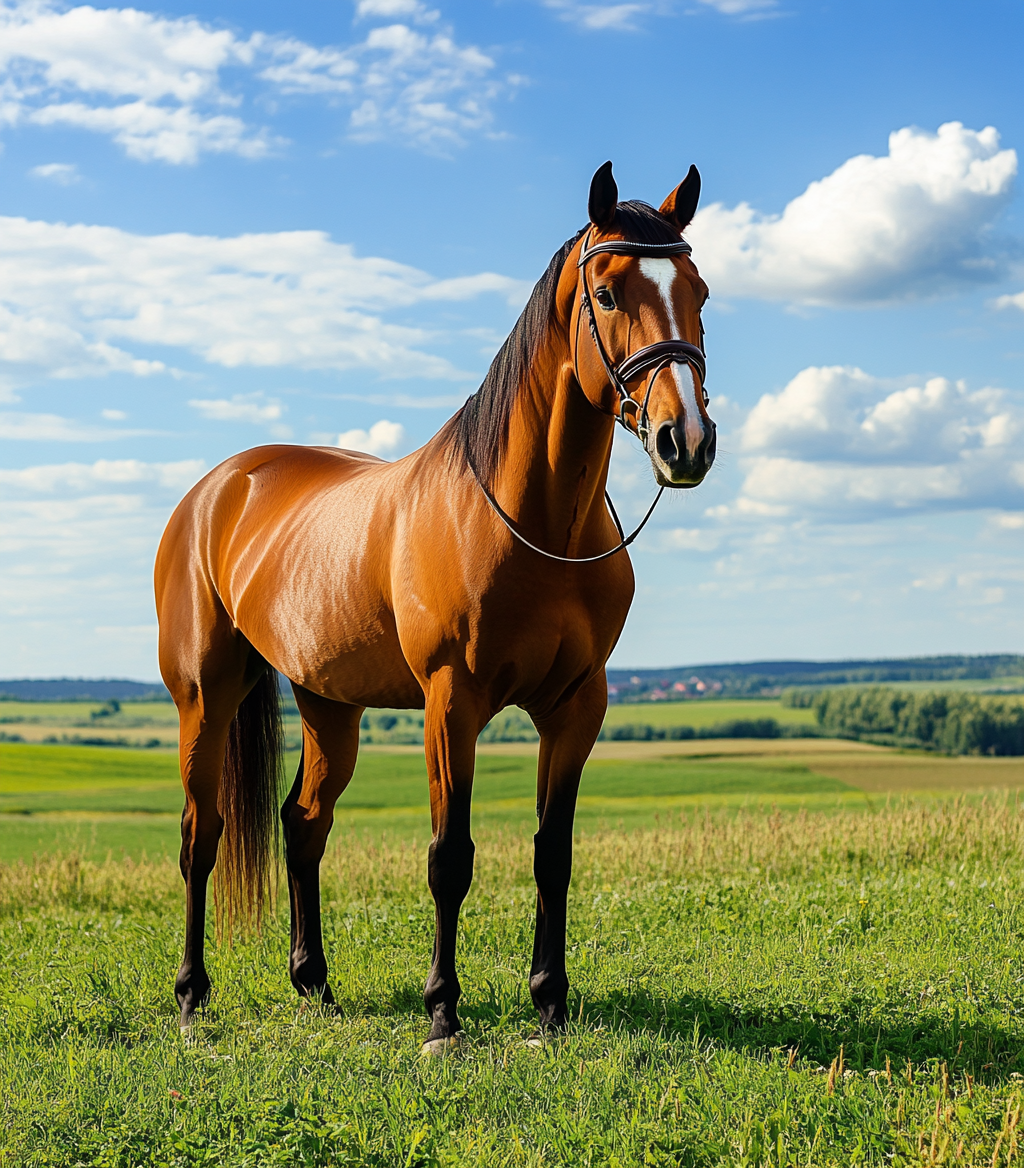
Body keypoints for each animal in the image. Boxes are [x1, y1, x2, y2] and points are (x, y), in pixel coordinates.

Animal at [155, 157, 714, 1051]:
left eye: (699, 291)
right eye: (607, 293)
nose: (685, 441)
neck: (535, 523)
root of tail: (216, 489)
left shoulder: (577, 705)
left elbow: (552, 852)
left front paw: (550, 1004)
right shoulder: (452, 703)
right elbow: (450, 857)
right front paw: (443, 1013)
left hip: (329, 704)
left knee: (303, 824)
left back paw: (315, 984)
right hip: (205, 697)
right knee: (199, 837)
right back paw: (190, 995)